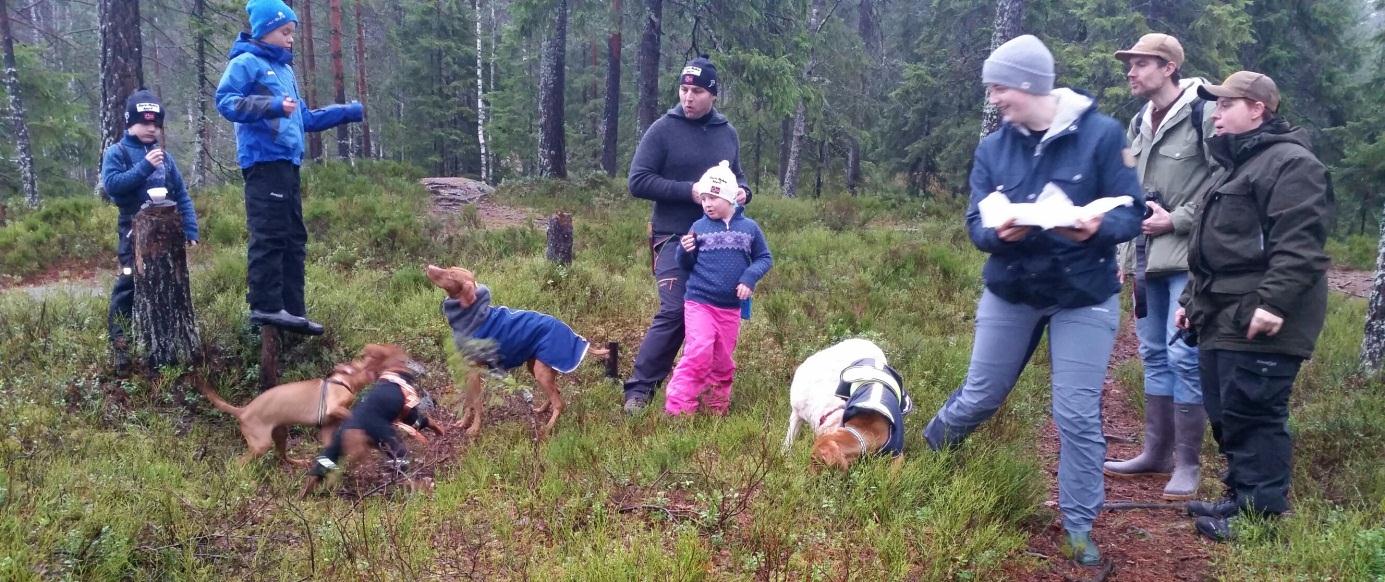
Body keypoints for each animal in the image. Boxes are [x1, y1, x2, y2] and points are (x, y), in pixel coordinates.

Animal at [198, 345, 407, 462]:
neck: (344, 381)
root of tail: (243, 410)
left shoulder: (327, 427)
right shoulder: (333, 407)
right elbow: (352, 415)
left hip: (281, 433)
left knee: (282, 458)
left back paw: (299, 463)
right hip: (261, 444)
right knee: (240, 463)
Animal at [423, 263, 614, 437]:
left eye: (451, 274)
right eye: (449, 268)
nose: (429, 267)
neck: (475, 317)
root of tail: (573, 334)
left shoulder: (474, 372)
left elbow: (476, 403)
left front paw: (475, 429)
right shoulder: (468, 370)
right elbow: (468, 401)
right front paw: (463, 423)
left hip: (541, 371)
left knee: (560, 403)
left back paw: (548, 428)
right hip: (536, 367)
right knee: (556, 394)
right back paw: (542, 410)